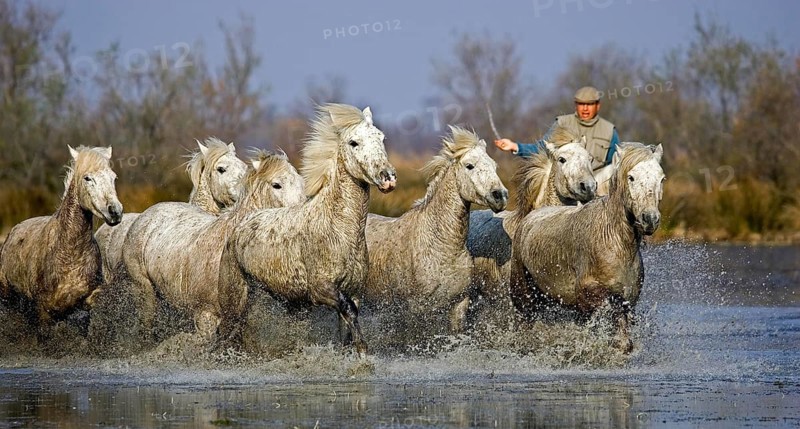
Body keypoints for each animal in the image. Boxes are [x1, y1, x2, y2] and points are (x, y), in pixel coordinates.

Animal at [106, 150, 305, 348]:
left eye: (300, 183)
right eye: (276, 185)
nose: (298, 217)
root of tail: (145, 215)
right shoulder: (206, 316)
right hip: (144, 292)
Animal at [216, 103, 397, 356]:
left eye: (381, 137)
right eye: (354, 142)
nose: (388, 178)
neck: (338, 229)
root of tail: (243, 221)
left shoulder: (353, 291)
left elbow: (347, 327)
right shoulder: (322, 290)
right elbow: (349, 310)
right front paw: (363, 350)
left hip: (292, 303)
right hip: (236, 297)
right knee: (226, 329)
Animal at [354, 126, 507, 340]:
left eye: (494, 165)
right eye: (469, 166)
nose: (500, 196)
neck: (441, 246)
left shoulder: (459, 304)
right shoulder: (416, 309)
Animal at [509, 142, 664, 352]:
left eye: (661, 178)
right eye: (631, 177)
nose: (650, 219)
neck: (616, 243)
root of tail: (530, 217)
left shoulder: (626, 302)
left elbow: (624, 342)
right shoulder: (590, 299)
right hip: (524, 297)